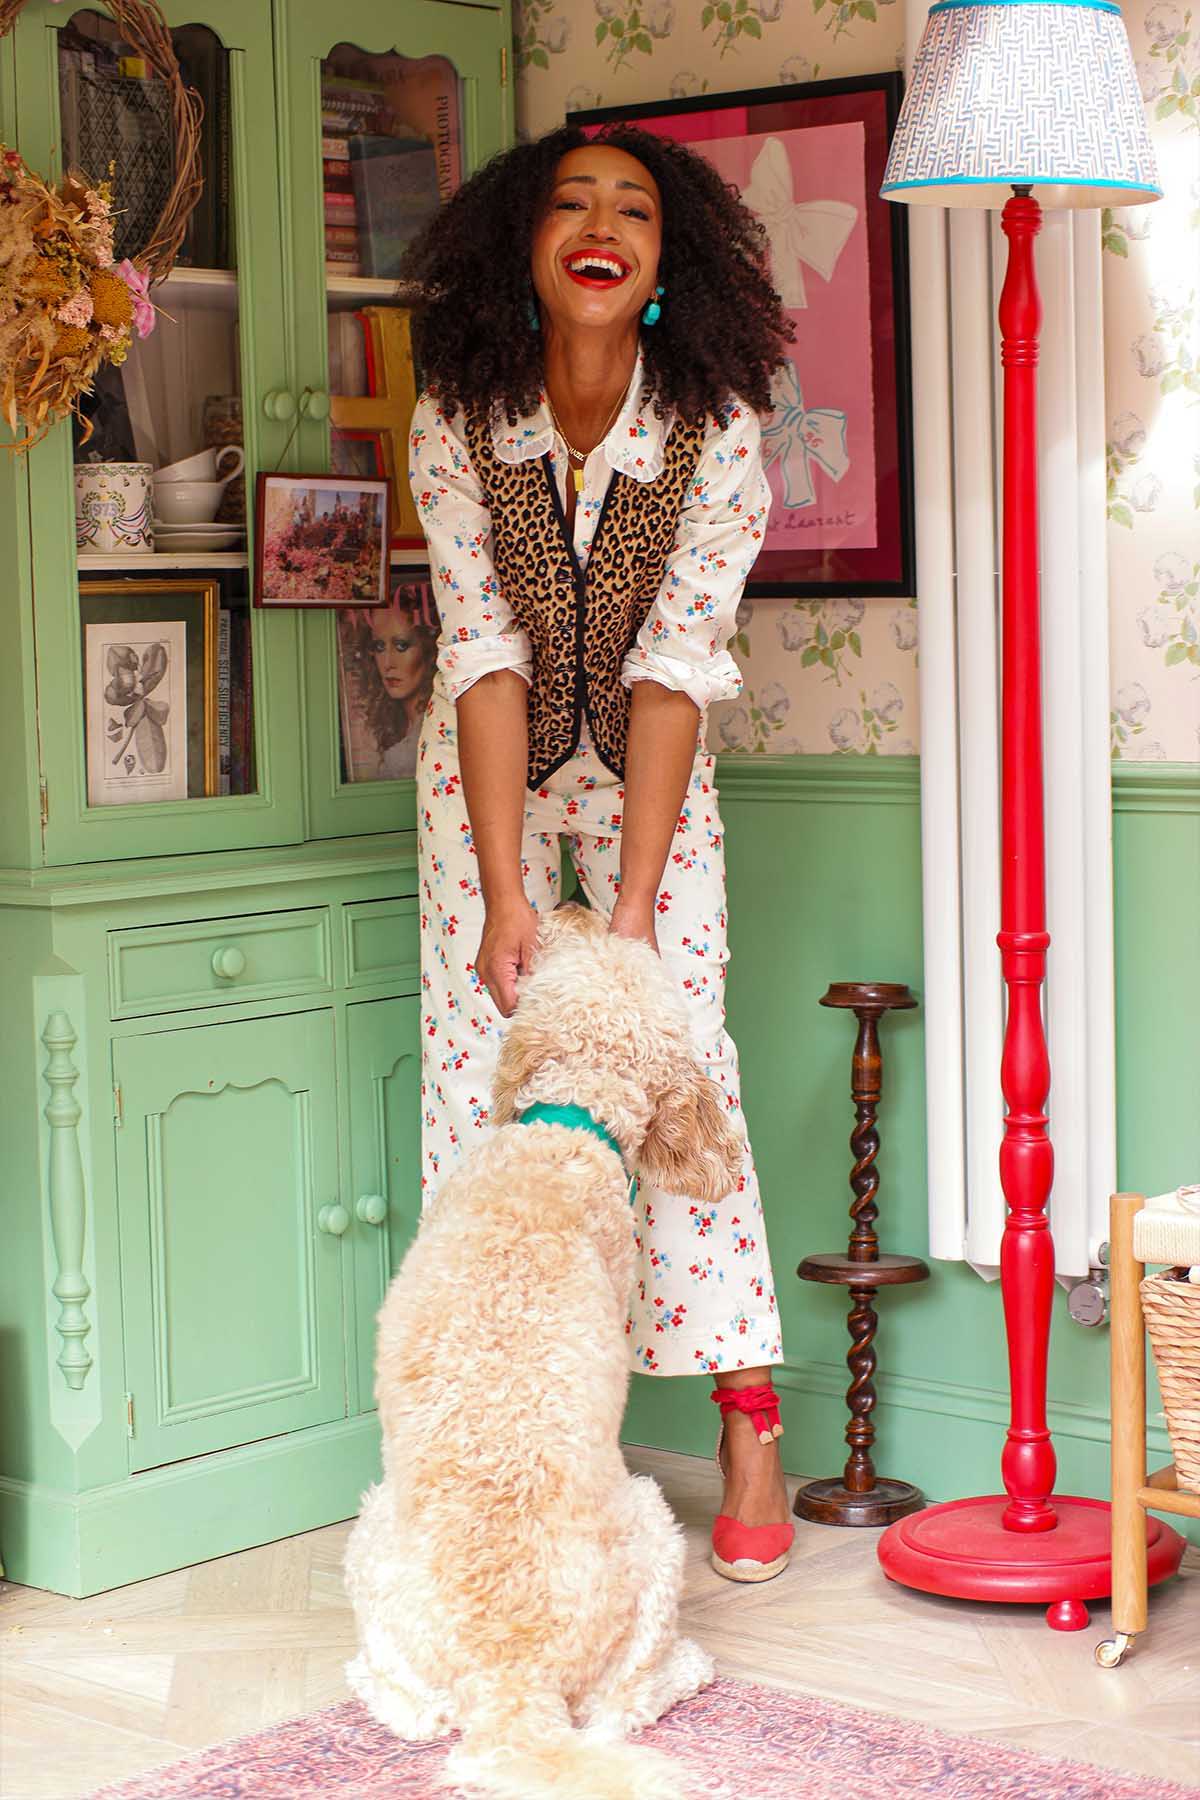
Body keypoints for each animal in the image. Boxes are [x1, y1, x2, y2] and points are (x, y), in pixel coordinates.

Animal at [341, 907, 744, 1792]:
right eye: (570, 944)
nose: (568, 908)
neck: (564, 1134)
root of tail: (512, 1681)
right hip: (651, 1526)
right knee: (615, 1705)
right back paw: (689, 1666)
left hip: (380, 1532)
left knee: (429, 1709)